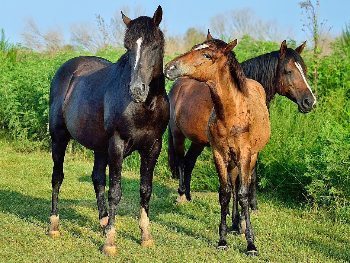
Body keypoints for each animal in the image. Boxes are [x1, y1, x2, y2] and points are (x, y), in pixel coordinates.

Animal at [48, 6, 170, 256]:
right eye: (127, 46)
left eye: (154, 45)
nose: (136, 90)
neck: (145, 106)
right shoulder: (117, 145)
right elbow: (115, 191)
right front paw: (110, 242)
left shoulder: (153, 147)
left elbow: (145, 189)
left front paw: (145, 236)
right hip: (59, 138)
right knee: (57, 177)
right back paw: (54, 225)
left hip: (99, 147)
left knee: (97, 179)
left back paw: (103, 222)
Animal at [165, 37, 270, 256]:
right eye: (194, 48)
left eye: (207, 55)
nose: (169, 67)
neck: (233, 114)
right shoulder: (219, 155)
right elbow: (224, 193)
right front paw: (222, 239)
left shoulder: (245, 155)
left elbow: (243, 195)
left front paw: (251, 244)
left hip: (250, 157)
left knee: (241, 186)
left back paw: (239, 225)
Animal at [168, 32, 316, 209]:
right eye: (288, 71)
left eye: (304, 71)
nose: (309, 101)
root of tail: (177, 86)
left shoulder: (251, 148)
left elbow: (251, 174)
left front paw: (252, 205)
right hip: (178, 135)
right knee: (181, 162)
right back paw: (181, 195)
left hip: (198, 141)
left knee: (189, 162)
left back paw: (189, 196)